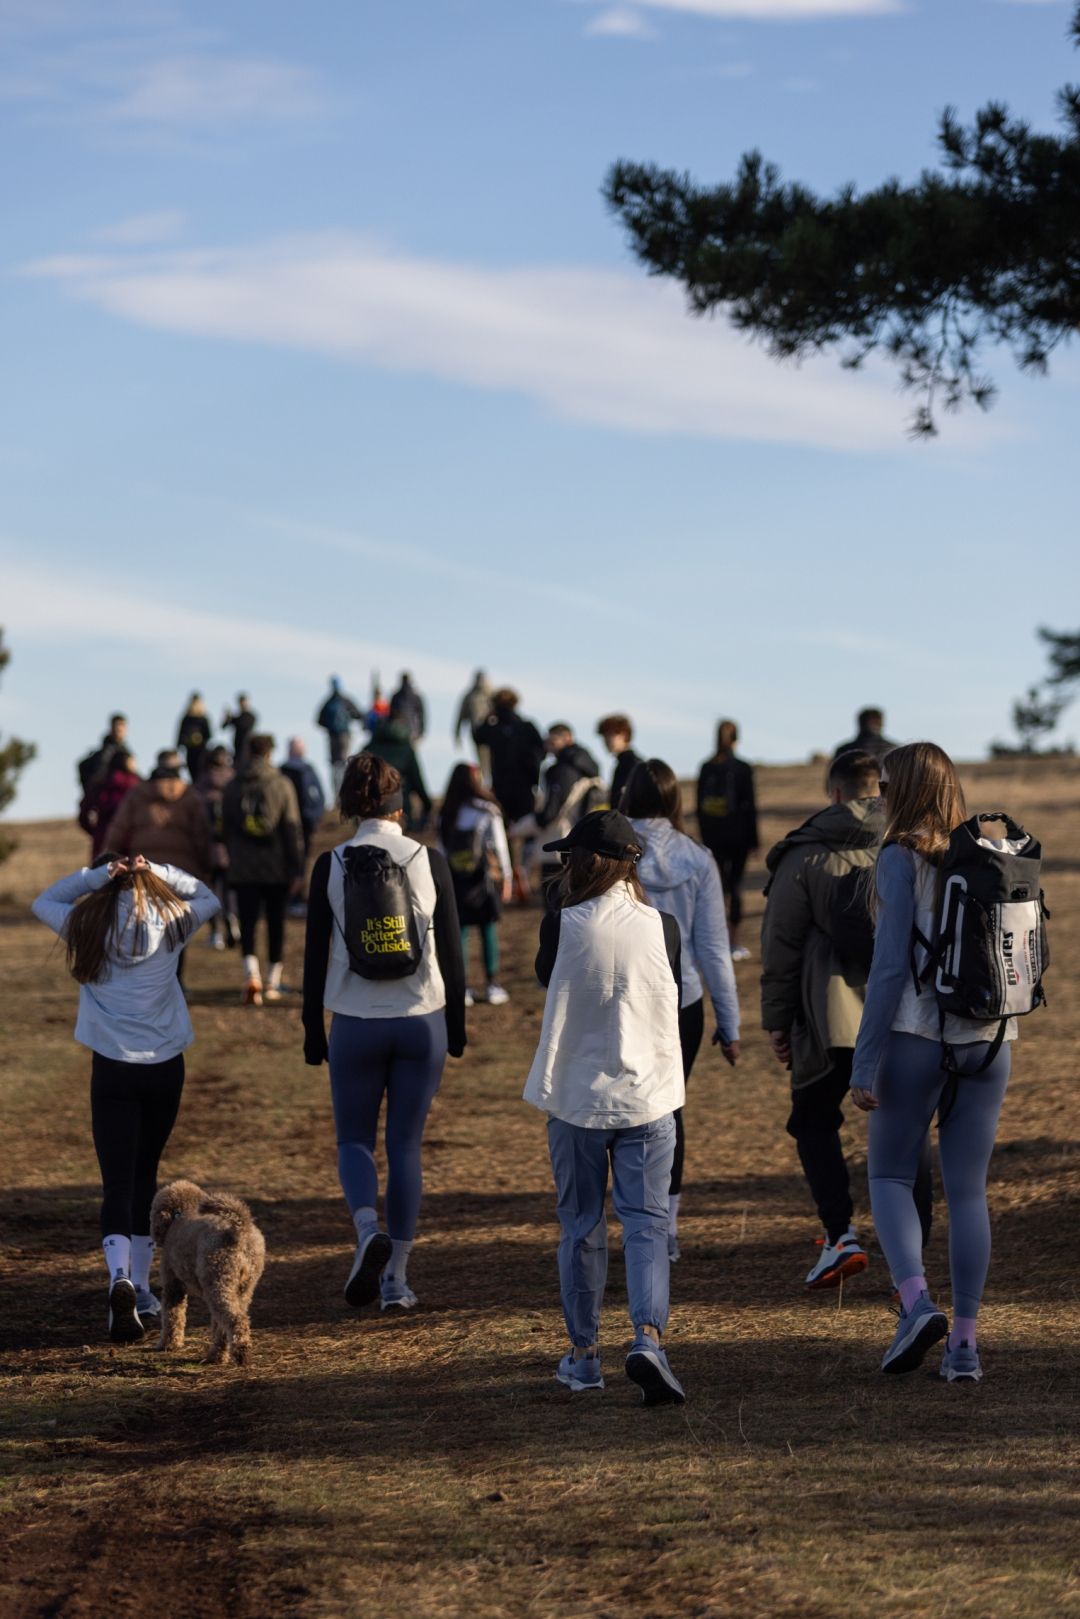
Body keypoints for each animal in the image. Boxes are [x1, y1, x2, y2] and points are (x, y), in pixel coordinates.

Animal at [151, 1178, 267, 1366]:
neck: (184, 1212)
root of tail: (240, 1228)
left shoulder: (172, 1285)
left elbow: (172, 1317)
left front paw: (168, 1344)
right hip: (243, 1287)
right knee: (225, 1324)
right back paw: (217, 1355)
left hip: (218, 1283)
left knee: (235, 1320)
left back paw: (240, 1354)